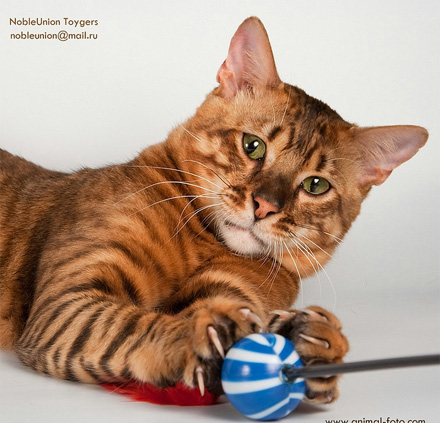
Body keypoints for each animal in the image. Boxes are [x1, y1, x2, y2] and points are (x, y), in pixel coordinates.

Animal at [0, 18, 426, 406]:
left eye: (315, 186)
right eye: (253, 146)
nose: (264, 206)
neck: (200, 244)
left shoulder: (235, 287)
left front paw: (307, 342)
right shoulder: (65, 303)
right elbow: (134, 325)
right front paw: (205, 337)